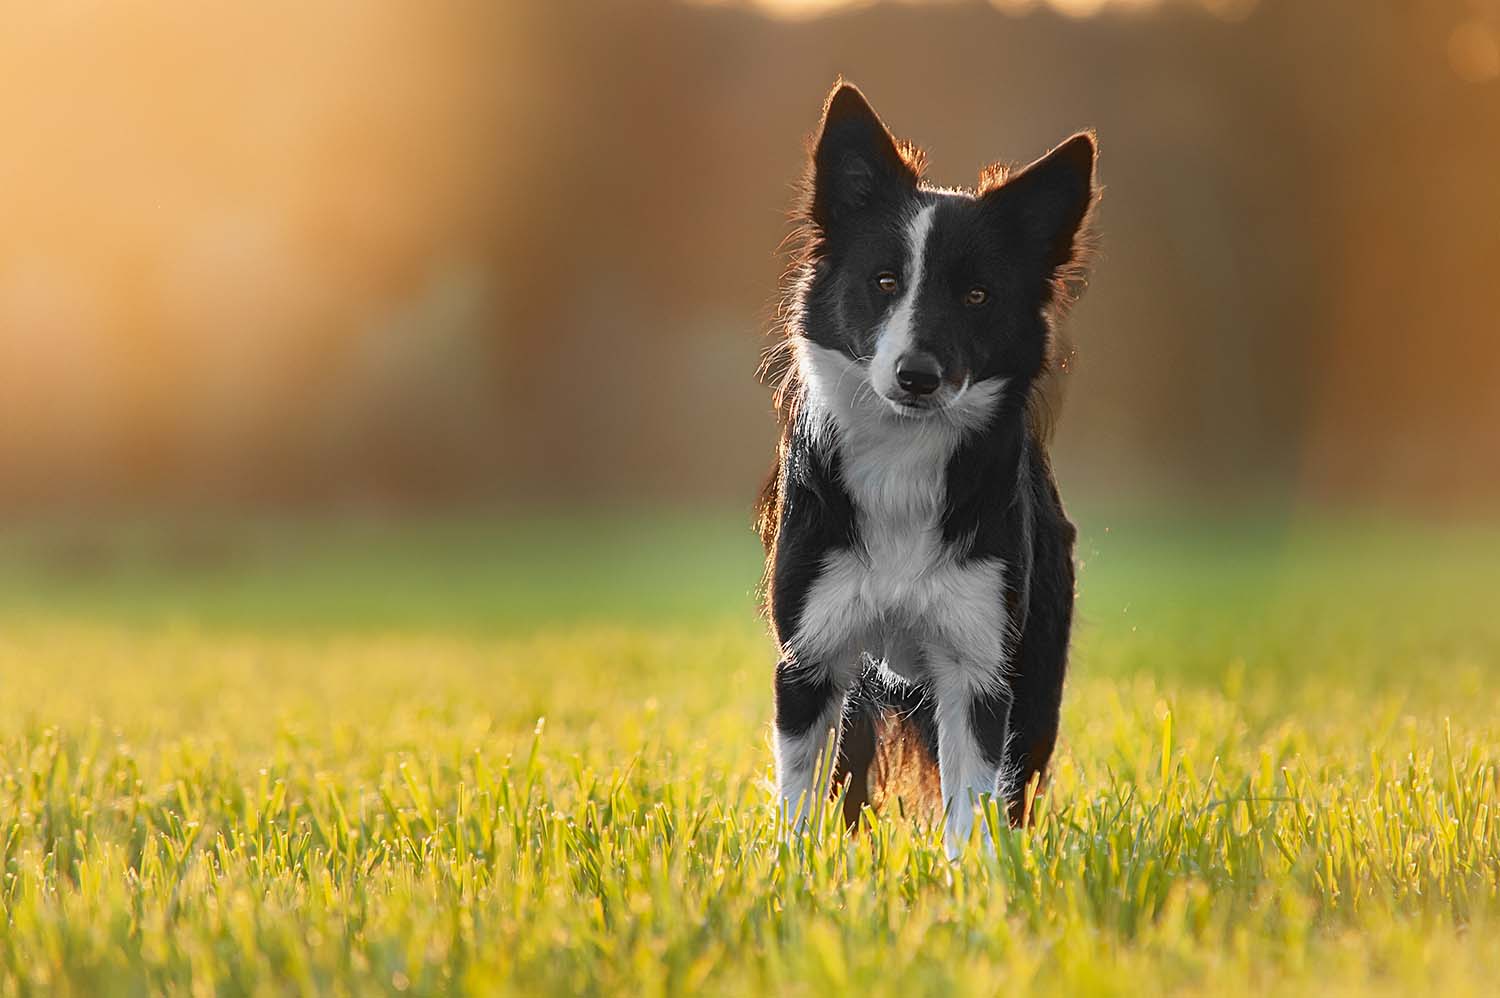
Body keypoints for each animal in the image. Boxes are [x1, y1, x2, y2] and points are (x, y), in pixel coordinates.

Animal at [756, 79, 1098, 858]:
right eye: (884, 282)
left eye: (976, 296)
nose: (918, 376)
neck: (902, 461)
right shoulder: (811, 655)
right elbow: (798, 797)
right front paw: (792, 871)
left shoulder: (979, 667)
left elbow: (970, 805)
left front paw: (972, 879)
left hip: (1036, 673)